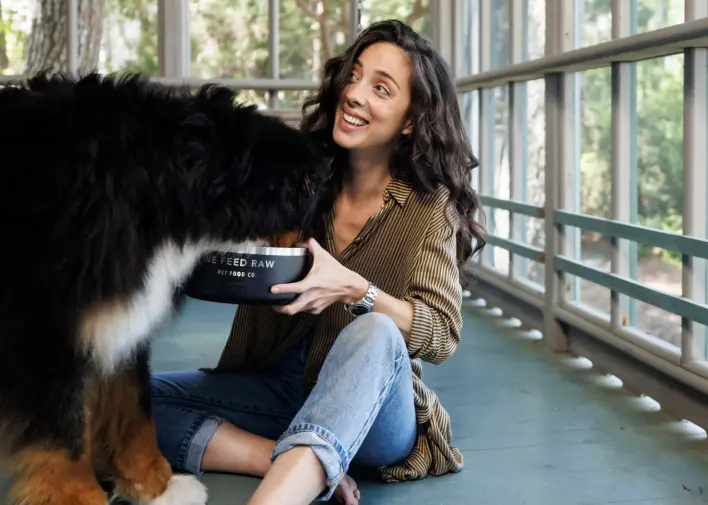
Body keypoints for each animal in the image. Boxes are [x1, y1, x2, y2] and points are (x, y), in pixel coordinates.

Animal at [0, 72, 330, 504]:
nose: (312, 244)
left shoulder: (120, 315)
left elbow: (135, 406)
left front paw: (158, 486)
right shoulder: (49, 328)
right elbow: (66, 435)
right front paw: (81, 497)